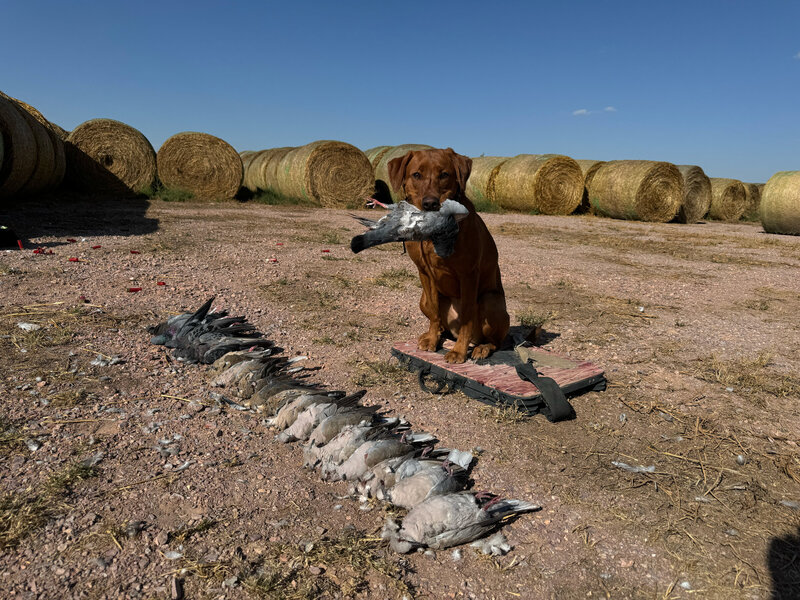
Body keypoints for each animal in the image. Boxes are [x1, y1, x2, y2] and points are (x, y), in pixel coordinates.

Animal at [387, 147, 509, 364]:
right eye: (416, 175)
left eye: (444, 174)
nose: (430, 203)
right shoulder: (424, 273)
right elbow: (435, 313)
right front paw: (432, 339)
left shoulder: (468, 274)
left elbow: (467, 318)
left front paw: (459, 351)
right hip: (422, 300)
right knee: (440, 321)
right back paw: (433, 334)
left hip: (490, 301)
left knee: (495, 341)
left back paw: (482, 347)